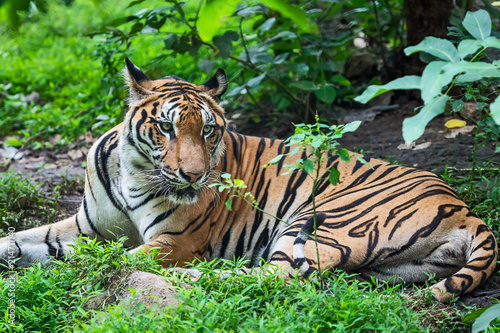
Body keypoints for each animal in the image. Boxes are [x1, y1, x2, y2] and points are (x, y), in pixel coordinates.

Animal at [0, 58, 496, 302]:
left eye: (208, 131)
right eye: (165, 127)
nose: (194, 175)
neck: (136, 173)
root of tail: (464, 208)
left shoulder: (172, 241)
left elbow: (113, 262)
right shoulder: (86, 228)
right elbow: (21, 239)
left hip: (325, 221)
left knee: (276, 277)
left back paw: (195, 275)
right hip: (393, 268)